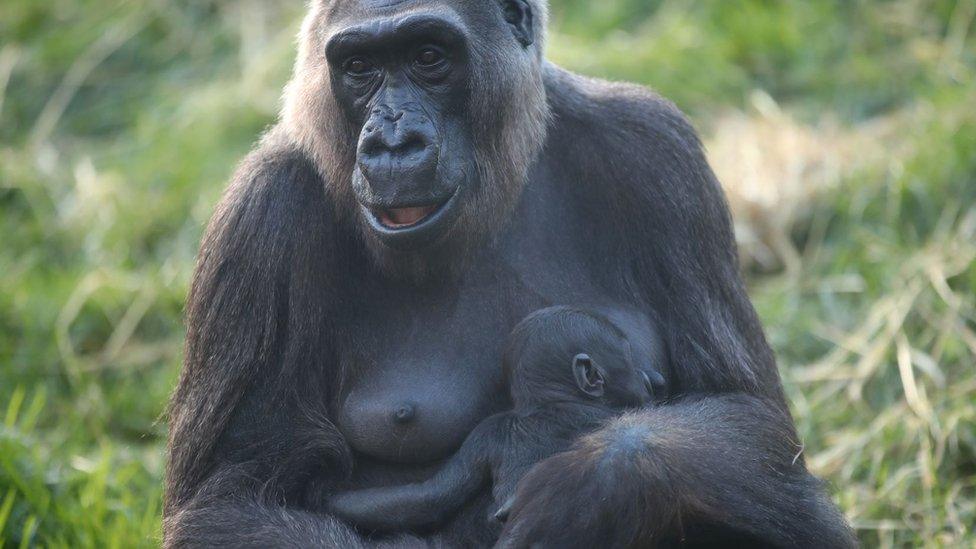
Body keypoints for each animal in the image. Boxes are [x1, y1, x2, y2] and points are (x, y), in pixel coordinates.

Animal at [332, 304, 668, 532]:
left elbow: (431, 495)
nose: (647, 378)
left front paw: (328, 498)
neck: (551, 402)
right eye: (628, 358)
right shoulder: (609, 412)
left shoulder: (483, 434)